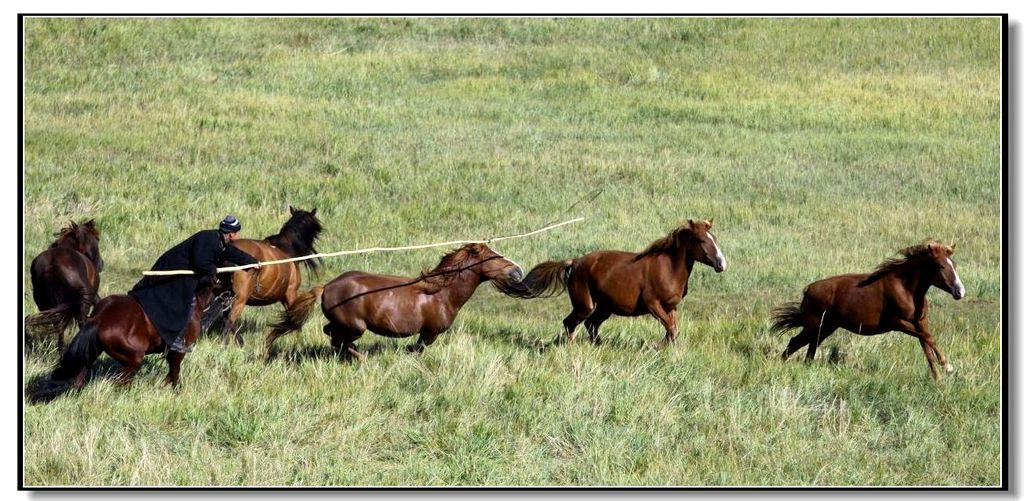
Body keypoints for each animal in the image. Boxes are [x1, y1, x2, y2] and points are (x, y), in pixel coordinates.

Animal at [25, 280, 220, 401]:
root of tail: (98, 319)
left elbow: (173, 372)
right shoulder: (178, 350)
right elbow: (174, 372)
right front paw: (173, 391)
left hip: (91, 356)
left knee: (78, 380)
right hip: (134, 358)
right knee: (119, 382)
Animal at [26, 220, 102, 350]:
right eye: (97, 239)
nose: (101, 264)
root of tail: (54, 267)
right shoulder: (92, 296)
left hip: (46, 304)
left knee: (58, 325)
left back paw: (60, 351)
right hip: (82, 304)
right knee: (80, 324)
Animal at [264, 241, 524, 358]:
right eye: (494, 257)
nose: (518, 271)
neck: (441, 294)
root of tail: (326, 286)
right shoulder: (430, 333)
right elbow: (417, 349)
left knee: (332, 334)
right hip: (356, 326)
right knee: (339, 339)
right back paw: (360, 358)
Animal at [501, 219, 729, 348]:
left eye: (715, 238)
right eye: (701, 240)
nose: (722, 264)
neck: (669, 268)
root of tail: (575, 262)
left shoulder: (670, 307)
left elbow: (673, 330)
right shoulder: (653, 304)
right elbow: (671, 330)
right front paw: (656, 347)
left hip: (605, 307)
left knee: (590, 325)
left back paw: (599, 346)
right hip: (585, 305)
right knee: (571, 322)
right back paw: (574, 348)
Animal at [770, 239, 962, 379]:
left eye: (954, 264)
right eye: (940, 266)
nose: (960, 291)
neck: (905, 288)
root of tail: (808, 290)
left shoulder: (921, 322)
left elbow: (927, 346)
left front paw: (938, 379)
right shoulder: (898, 323)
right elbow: (929, 338)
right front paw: (948, 366)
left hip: (826, 328)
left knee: (809, 347)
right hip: (814, 326)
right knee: (795, 342)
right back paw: (780, 365)